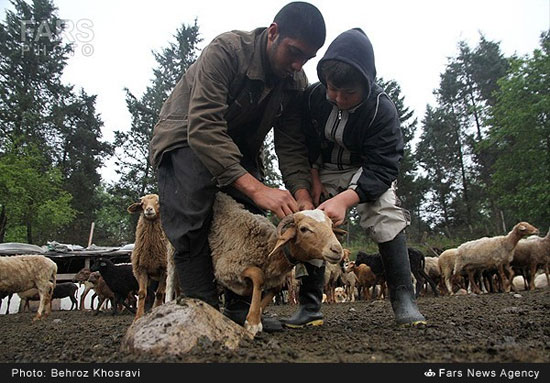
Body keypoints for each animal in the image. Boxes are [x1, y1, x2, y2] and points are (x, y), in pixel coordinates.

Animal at [209, 194, 342, 334]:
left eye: (331, 225)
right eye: (303, 229)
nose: (337, 250)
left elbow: (276, 288)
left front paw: (258, 313)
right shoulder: (228, 266)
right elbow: (258, 276)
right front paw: (253, 322)